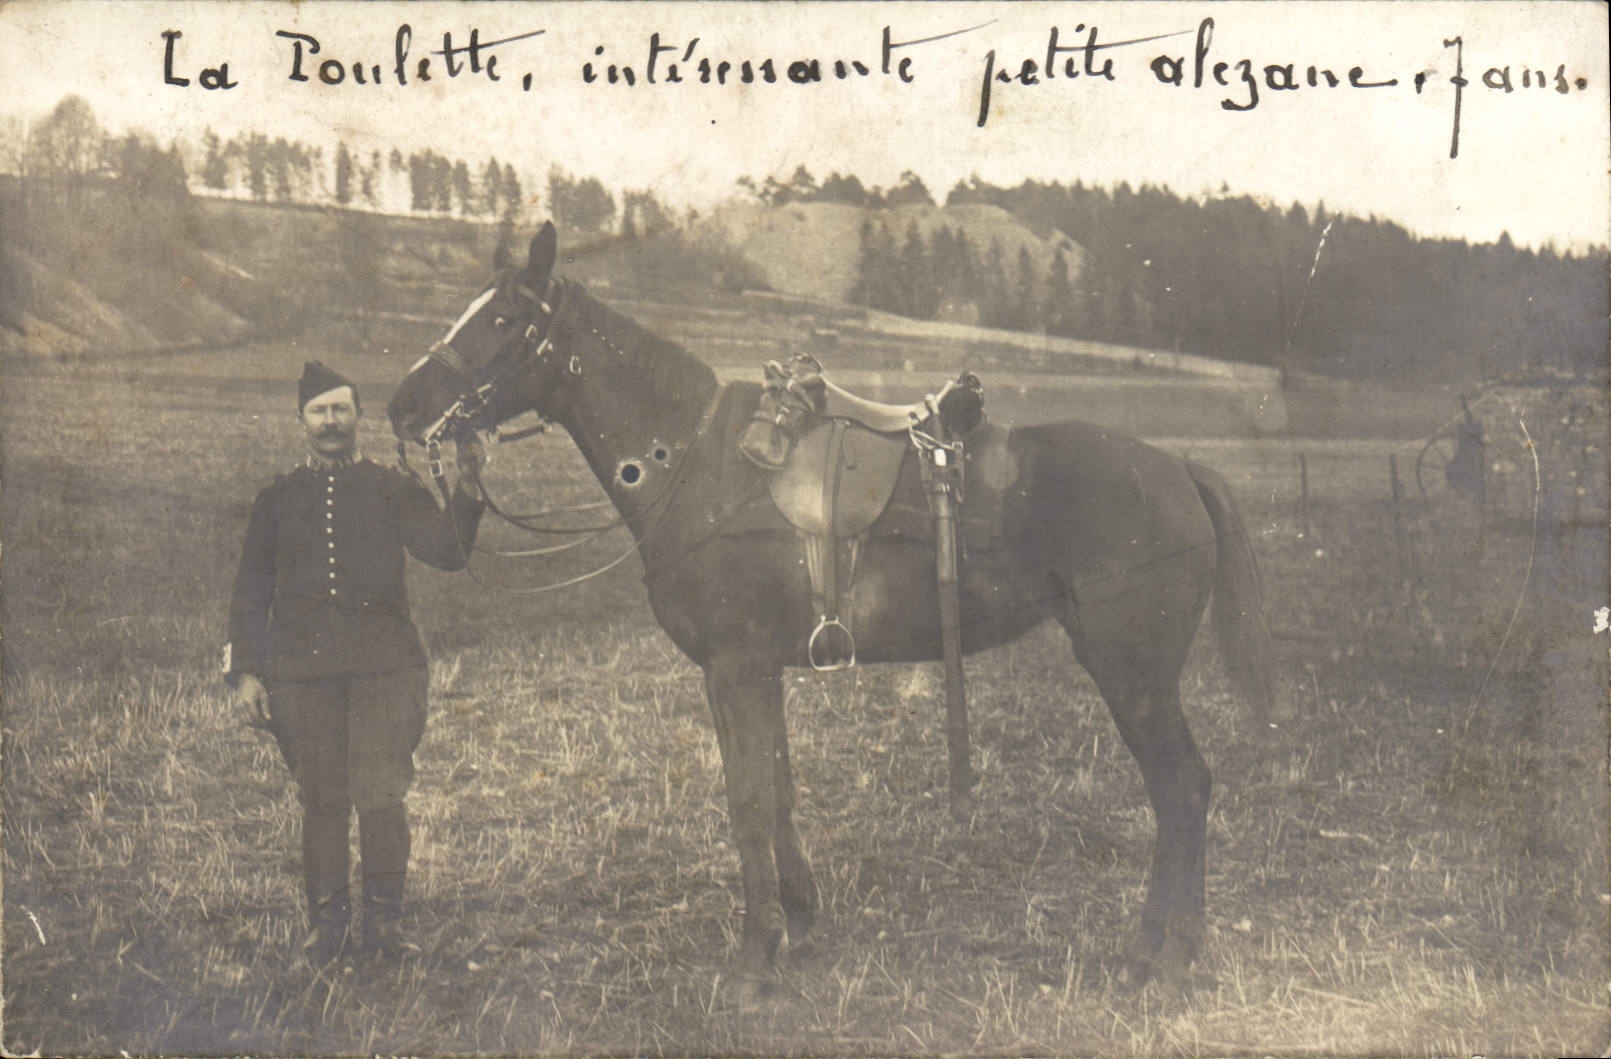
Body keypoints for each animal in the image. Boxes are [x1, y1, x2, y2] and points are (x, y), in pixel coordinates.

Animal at [387, 222, 1277, 990]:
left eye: (503, 318)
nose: (402, 404)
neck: (693, 461)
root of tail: (1177, 469)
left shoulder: (735, 668)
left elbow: (748, 799)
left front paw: (753, 960)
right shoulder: (755, 671)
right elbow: (778, 791)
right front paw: (800, 921)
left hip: (1133, 675)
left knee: (1182, 788)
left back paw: (1166, 955)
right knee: (1178, 792)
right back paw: (1151, 948)